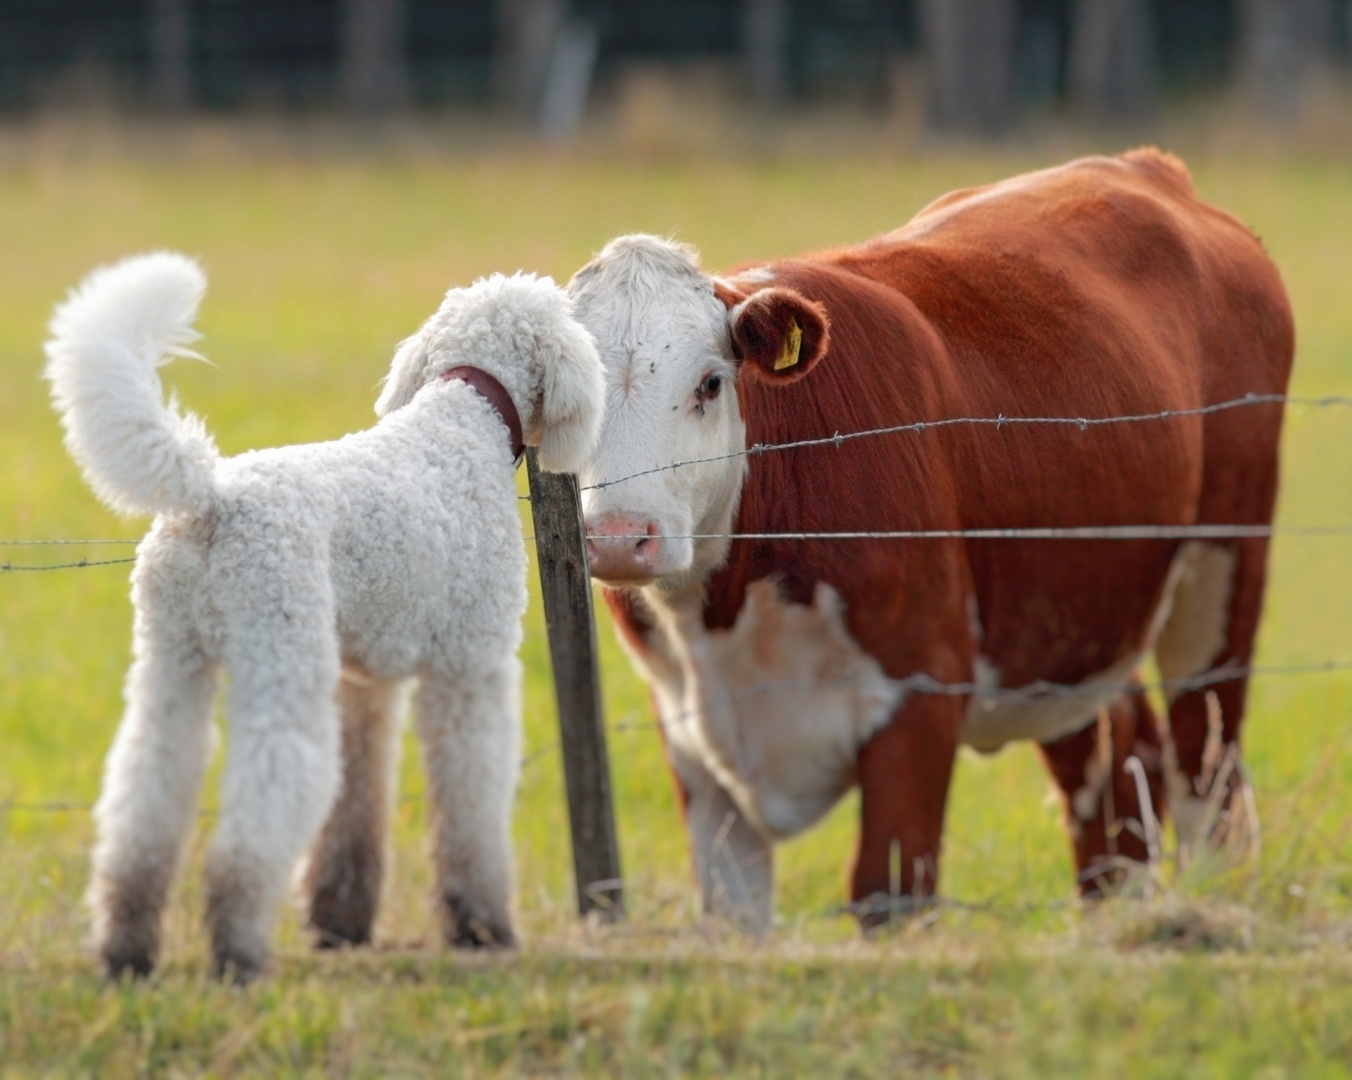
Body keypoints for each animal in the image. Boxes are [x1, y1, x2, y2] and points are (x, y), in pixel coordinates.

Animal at [43, 251, 602, 978]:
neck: (465, 417)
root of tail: (209, 499)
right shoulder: (469, 668)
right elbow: (470, 799)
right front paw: (482, 927)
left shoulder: (361, 681)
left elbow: (356, 804)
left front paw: (340, 923)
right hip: (281, 654)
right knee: (262, 808)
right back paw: (239, 954)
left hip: (173, 661)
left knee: (145, 799)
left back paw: (126, 952)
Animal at [567, 150, 1287, 929]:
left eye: (709, 383)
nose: (619, 539)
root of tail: (1145, 167)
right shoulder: (693, 732)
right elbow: (733, 910)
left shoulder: (922, 690)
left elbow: (887, 889)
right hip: (1066, 612)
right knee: (1117, 754)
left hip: (1221, 569)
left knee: (1205, 761)